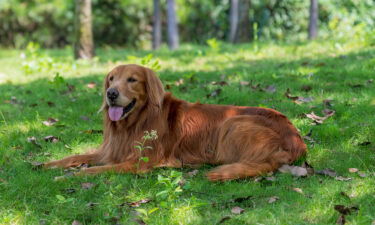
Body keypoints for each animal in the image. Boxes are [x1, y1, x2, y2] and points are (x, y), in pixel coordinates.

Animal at [44, 64, 308, 180]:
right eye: (111, 79)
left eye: (132, 80)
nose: (111, 93)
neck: (135, 122)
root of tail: (296, 140)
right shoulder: (110, 150)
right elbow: (76, 157)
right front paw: (46, 164)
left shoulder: (138, 162)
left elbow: (95, 169)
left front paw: (67, 176)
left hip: (233, 123)